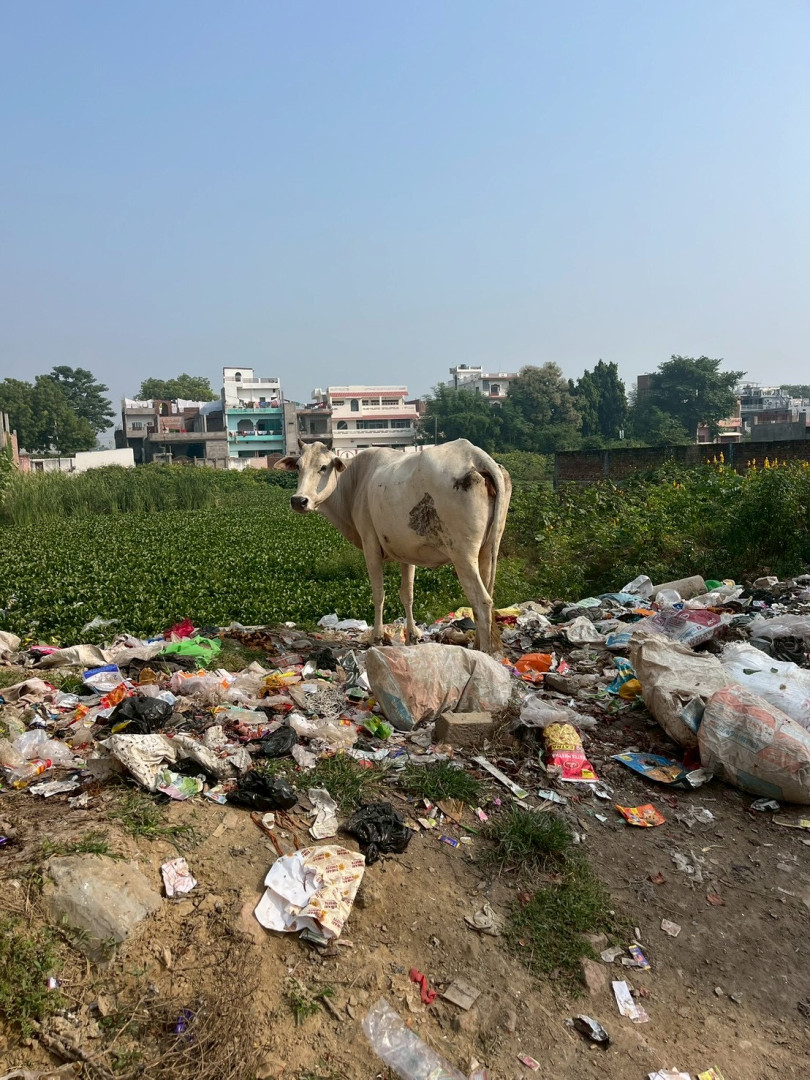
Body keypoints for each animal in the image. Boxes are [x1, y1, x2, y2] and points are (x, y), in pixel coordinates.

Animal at [274, 439, 512, 655]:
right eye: (298, 466)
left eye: (323, 467)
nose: (299, 500)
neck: (355, 481)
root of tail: (475, 456)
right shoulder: (407, 553)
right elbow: (407, 594)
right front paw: (412, 637)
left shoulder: (370, 545)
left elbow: (378, 593)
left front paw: (377, 637)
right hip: (488, 549)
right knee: (486, 594)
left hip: (462, 555)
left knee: (482, 601)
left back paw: (484, 653)